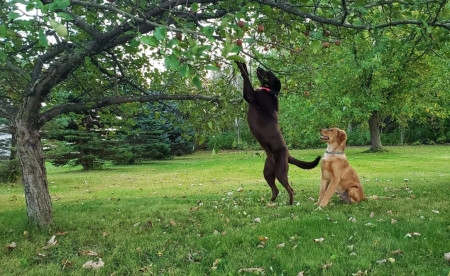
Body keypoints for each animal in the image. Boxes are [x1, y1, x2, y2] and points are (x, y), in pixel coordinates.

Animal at [234, 62, 322, 205]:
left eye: (268, 73)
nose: (259, 67)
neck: (269, 91)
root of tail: (288, 155)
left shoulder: (250, 95)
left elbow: (245, 77)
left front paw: (239, 64)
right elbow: (246, 73)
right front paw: (243, 62)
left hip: (280, 172)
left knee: (290, 189)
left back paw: (289, 204)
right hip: (268, 172)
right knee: (276, 189)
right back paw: (271, 202)